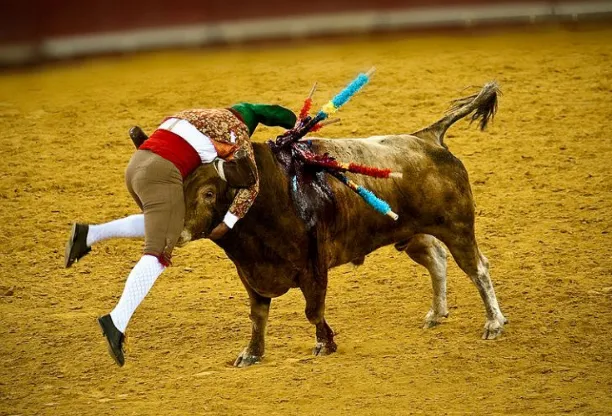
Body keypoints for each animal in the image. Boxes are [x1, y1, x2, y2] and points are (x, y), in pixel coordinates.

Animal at [177, 82, 506, 368]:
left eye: (208, 193)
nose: (177, 232)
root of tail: (426, 137)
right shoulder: (249, 272)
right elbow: (257, 316)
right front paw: (251, 354)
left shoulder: (313, 267)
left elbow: (313, 310)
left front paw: (324, 345)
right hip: (413, 234)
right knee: (437, 260)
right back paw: (437, 314)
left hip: (457, 227)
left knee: (477, 268)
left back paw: (494, 323)